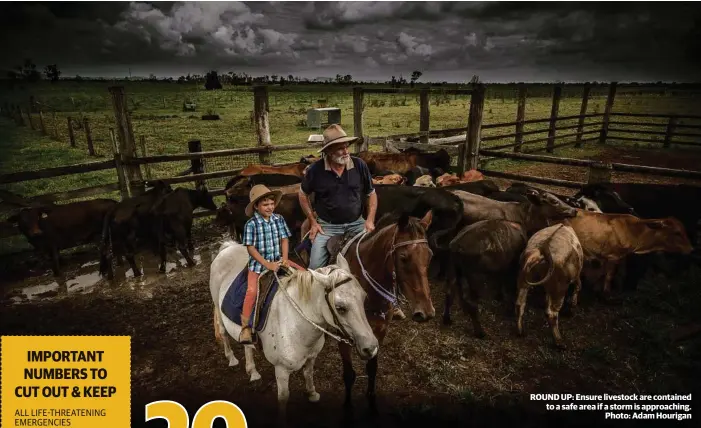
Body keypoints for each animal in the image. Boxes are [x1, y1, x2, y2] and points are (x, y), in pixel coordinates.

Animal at [211, 241, 380, 424]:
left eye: (363, 297)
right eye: (340, 308)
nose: (371, 348)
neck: (296, 324)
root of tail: (228, 247)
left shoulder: (311, 356)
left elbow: (308, 374)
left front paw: (312, 394)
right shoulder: (281, 369)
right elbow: (284, 397)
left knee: (247, 344)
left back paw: (253, 372)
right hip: (218, 308)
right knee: (224, 333)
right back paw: (232, 359)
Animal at [332, 211, 432, 414]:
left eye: (430, 256)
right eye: (403, 257)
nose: (426, 312)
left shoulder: (380, 330)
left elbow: (372, 368)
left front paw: (371, 400)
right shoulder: (343, 336)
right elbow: (349, 374)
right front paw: (348, 406)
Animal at [556, 210, 692, 296]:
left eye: (684, 230)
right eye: (677, 232)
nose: (691, 249)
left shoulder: (621, 257)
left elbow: (620, 274)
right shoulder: (613, 256)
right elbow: (609, 275)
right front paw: (606, 292)